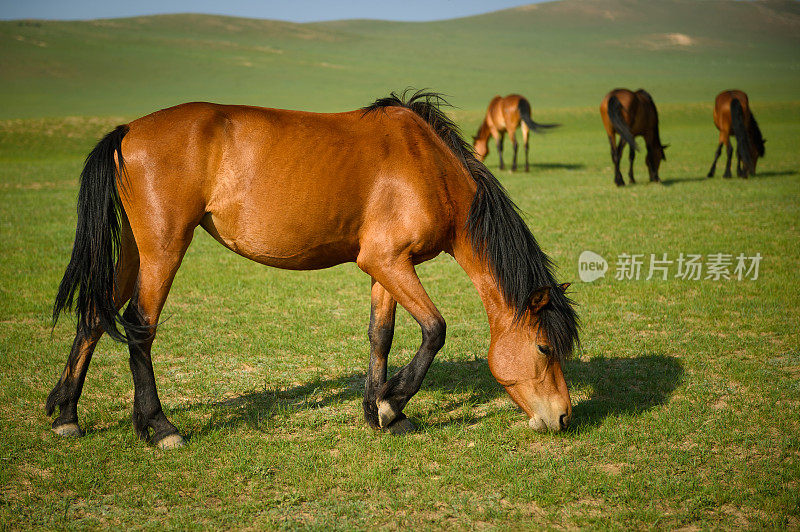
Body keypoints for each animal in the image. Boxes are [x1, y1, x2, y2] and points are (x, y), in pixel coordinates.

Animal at [48, 91, 580, 448]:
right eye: (544, 347)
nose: (565, 418)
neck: (428, 166)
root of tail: (128, 131)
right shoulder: (388, 262)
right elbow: (434, 329)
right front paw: (392, 403)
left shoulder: (385, 265)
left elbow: (381, 336)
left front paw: (382, 411)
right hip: (163, 248)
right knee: (139, 326)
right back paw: (159, 427)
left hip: (134, 251)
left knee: (93, 316)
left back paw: (66, 415)